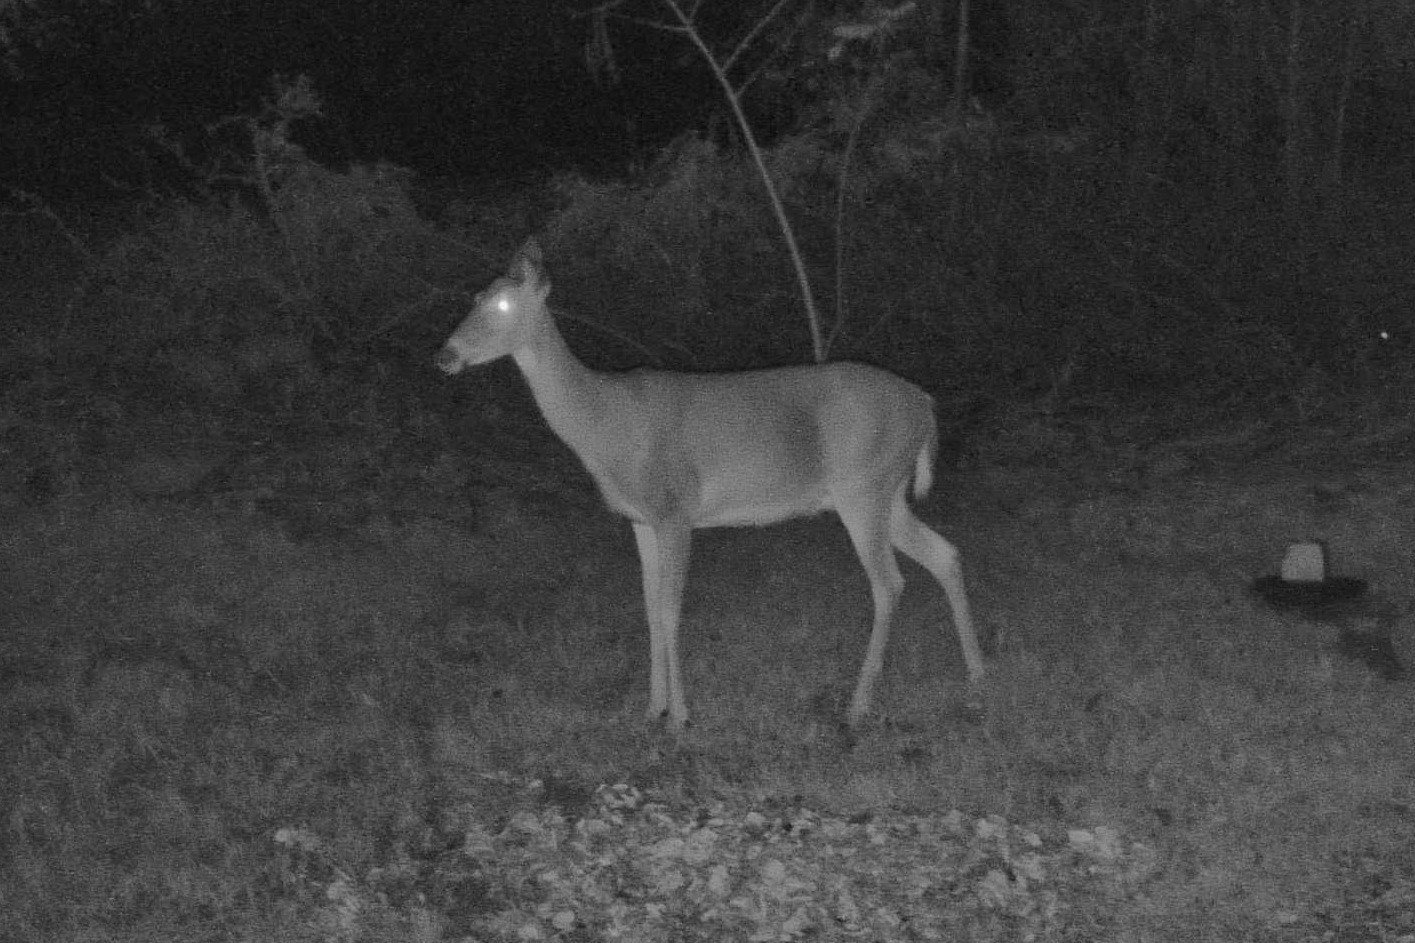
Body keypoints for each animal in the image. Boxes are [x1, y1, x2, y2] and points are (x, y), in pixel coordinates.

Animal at [435, 238, 984, 729]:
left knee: (889, 583)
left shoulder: (676, 509)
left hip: (863, 486)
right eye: (475, 297)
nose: (444, 354)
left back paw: (859, 704)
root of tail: (924, 405)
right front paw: (651, 708)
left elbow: (671, 610)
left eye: (504, 302)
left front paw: (680, 717)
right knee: (945, 554)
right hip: (888, 493)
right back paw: (977, 673)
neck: (605, 423)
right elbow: (650, 610)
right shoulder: (641, 519)